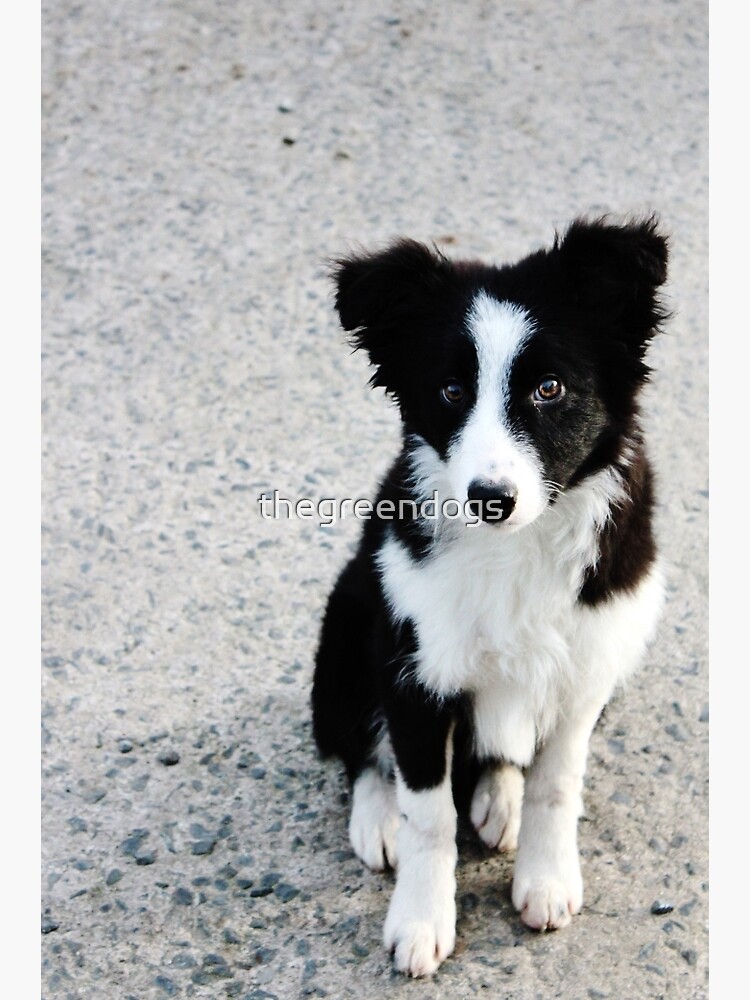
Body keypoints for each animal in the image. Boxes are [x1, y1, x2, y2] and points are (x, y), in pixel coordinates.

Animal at [312, 217, 668, 976]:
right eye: (450, 391)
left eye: (550, 388)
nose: (489, 499)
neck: (517, 546)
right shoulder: (415, 666)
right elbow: (427, 812)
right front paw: (420, 920)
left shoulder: (591, 662)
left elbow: (557, 784)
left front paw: (546, 878)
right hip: (348, 621)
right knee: (359, 748)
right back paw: (377, 817)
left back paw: (500, 799)